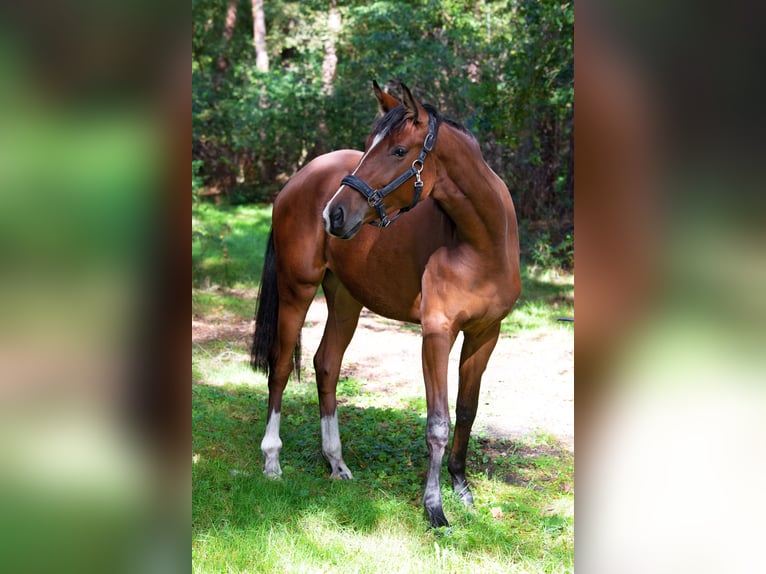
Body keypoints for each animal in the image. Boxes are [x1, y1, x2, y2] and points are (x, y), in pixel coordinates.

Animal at [251, 82, 521, 528]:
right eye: (367, 145)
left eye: (398, 151)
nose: (334, 214)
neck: (481, 242)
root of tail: (302, 177)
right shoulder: (436, 334)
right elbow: (438, 423)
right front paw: (435, 509)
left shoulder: (486, 334)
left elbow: (466, 410)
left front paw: (462, 489)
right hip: (296, 290)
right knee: (281, 367)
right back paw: (272, 460)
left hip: (345, 299)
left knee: (327, 365)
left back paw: (336, 463)